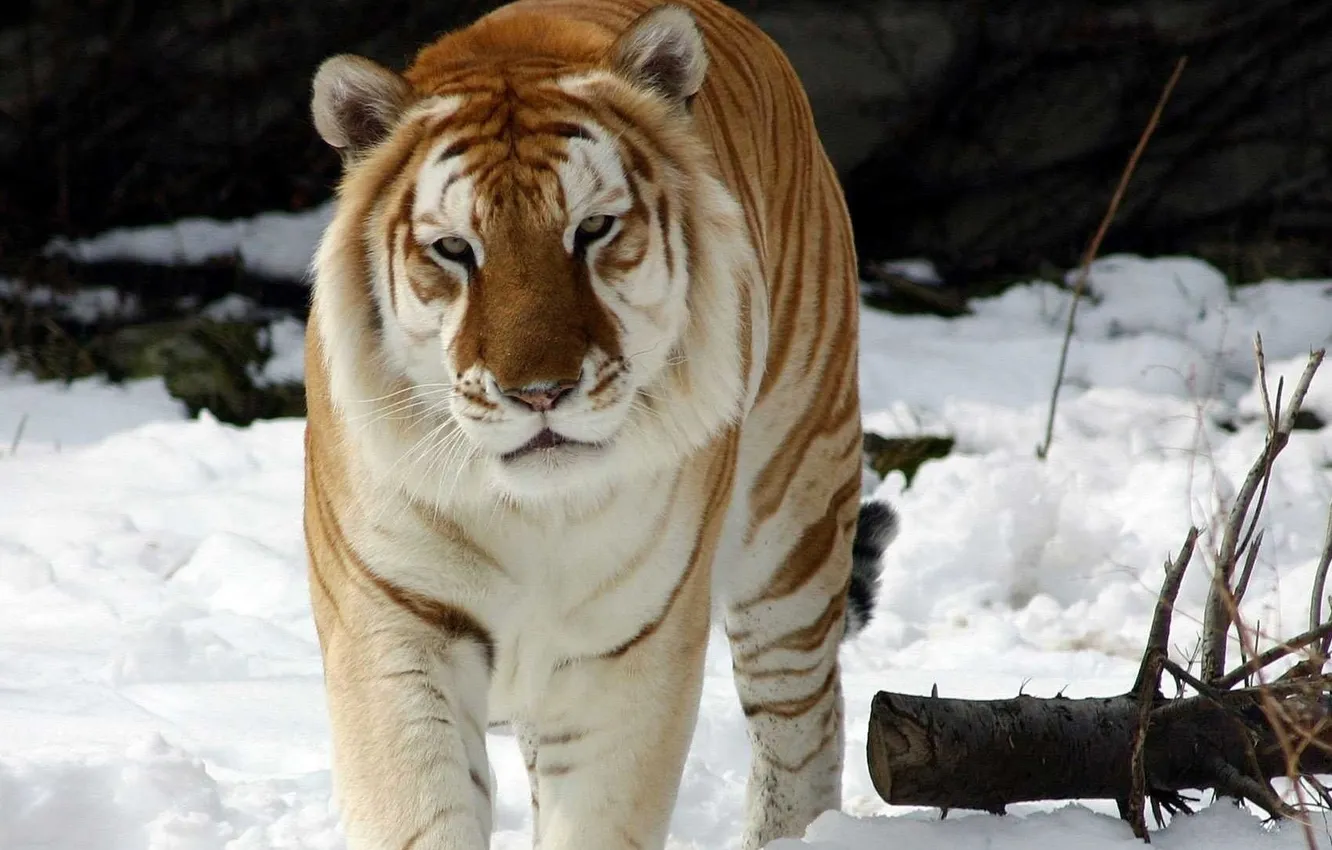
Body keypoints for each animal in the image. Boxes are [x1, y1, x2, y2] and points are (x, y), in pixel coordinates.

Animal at [301, 1, 898, 848]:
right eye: (454, 249)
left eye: (592, 230)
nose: (540, 393)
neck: (532, 513)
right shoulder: (393, 627)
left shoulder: (628, 650)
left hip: (796, 516)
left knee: (801, 726)